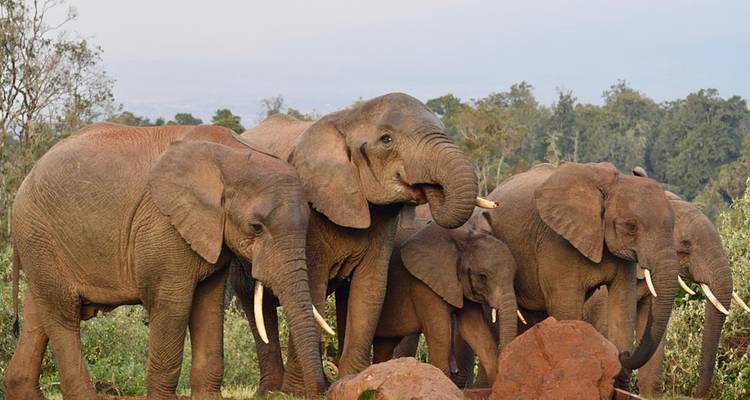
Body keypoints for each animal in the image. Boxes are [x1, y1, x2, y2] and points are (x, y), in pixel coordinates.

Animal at [5, 123, 327, 399]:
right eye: (256, 227)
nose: (318, 392)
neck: (230, 157)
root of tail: (27, 177)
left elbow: (209, 304)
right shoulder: (164, 226)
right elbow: (172, 304)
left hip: (42, 243)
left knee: (38, 311)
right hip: (38, 231)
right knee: (63, 314)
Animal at [229, 93, 487, 395]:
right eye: (387, 139)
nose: (428, 187)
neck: (348, 119)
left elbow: (369, 288)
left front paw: (353, 381)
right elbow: (312, 289)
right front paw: (299, 393)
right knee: (256, 304)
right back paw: (271, 391)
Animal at [372, 205, 518, 388]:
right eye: (482, 276)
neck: (463, 238)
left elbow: (475, 330)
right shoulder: (422, 284)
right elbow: (441, 333)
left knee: (384, 345)